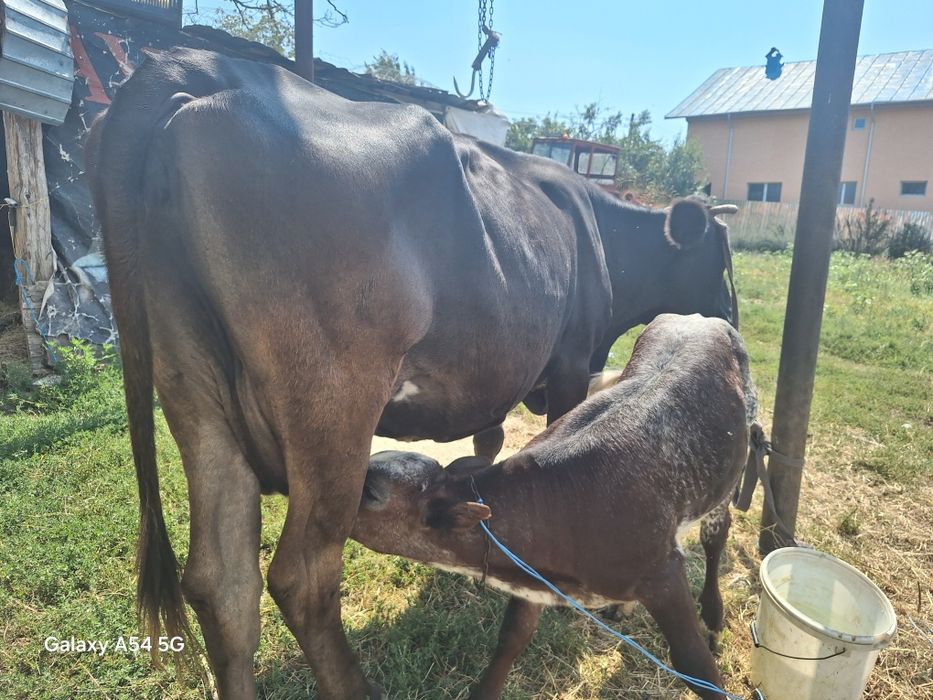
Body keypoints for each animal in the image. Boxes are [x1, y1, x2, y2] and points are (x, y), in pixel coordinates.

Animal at [353, 314, 757, 699]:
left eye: (370, 491)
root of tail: (700, 318)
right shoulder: (535, 571)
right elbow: (512, 638)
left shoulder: (664, 573)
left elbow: (695, 666)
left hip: (729, 476)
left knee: (716, 536)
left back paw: (713, 616)